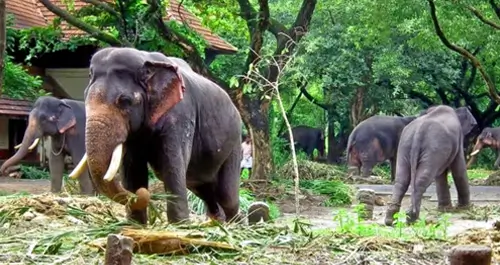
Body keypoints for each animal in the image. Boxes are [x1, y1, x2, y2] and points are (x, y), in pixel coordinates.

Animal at [68, 46, 244, 224]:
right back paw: (216, 223)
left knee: (227, 196)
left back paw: (234, 224)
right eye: (85, 97)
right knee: (205, 190)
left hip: (235, 143)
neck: (145, 60)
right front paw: (136, 224)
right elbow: (133, 168)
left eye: (125, 101)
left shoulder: (180, 115)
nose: (143, 193)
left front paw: (180, 226)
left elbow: (171, 165)